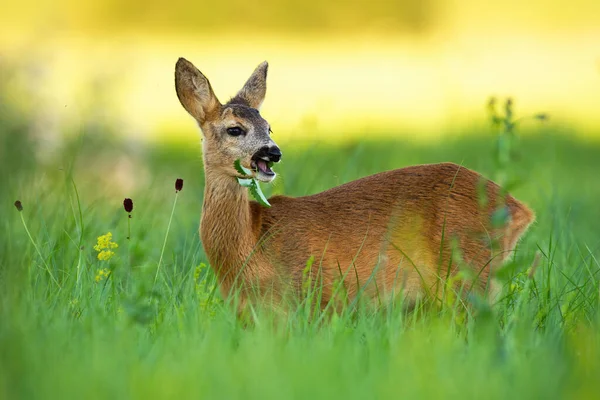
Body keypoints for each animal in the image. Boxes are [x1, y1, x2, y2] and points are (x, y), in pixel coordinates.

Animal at [173, 57, 536, 312]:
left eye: (268, 127)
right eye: (235, 129)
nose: (272, 153)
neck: (249, 246)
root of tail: (520, 210)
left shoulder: (315, 297)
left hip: (466, 273)